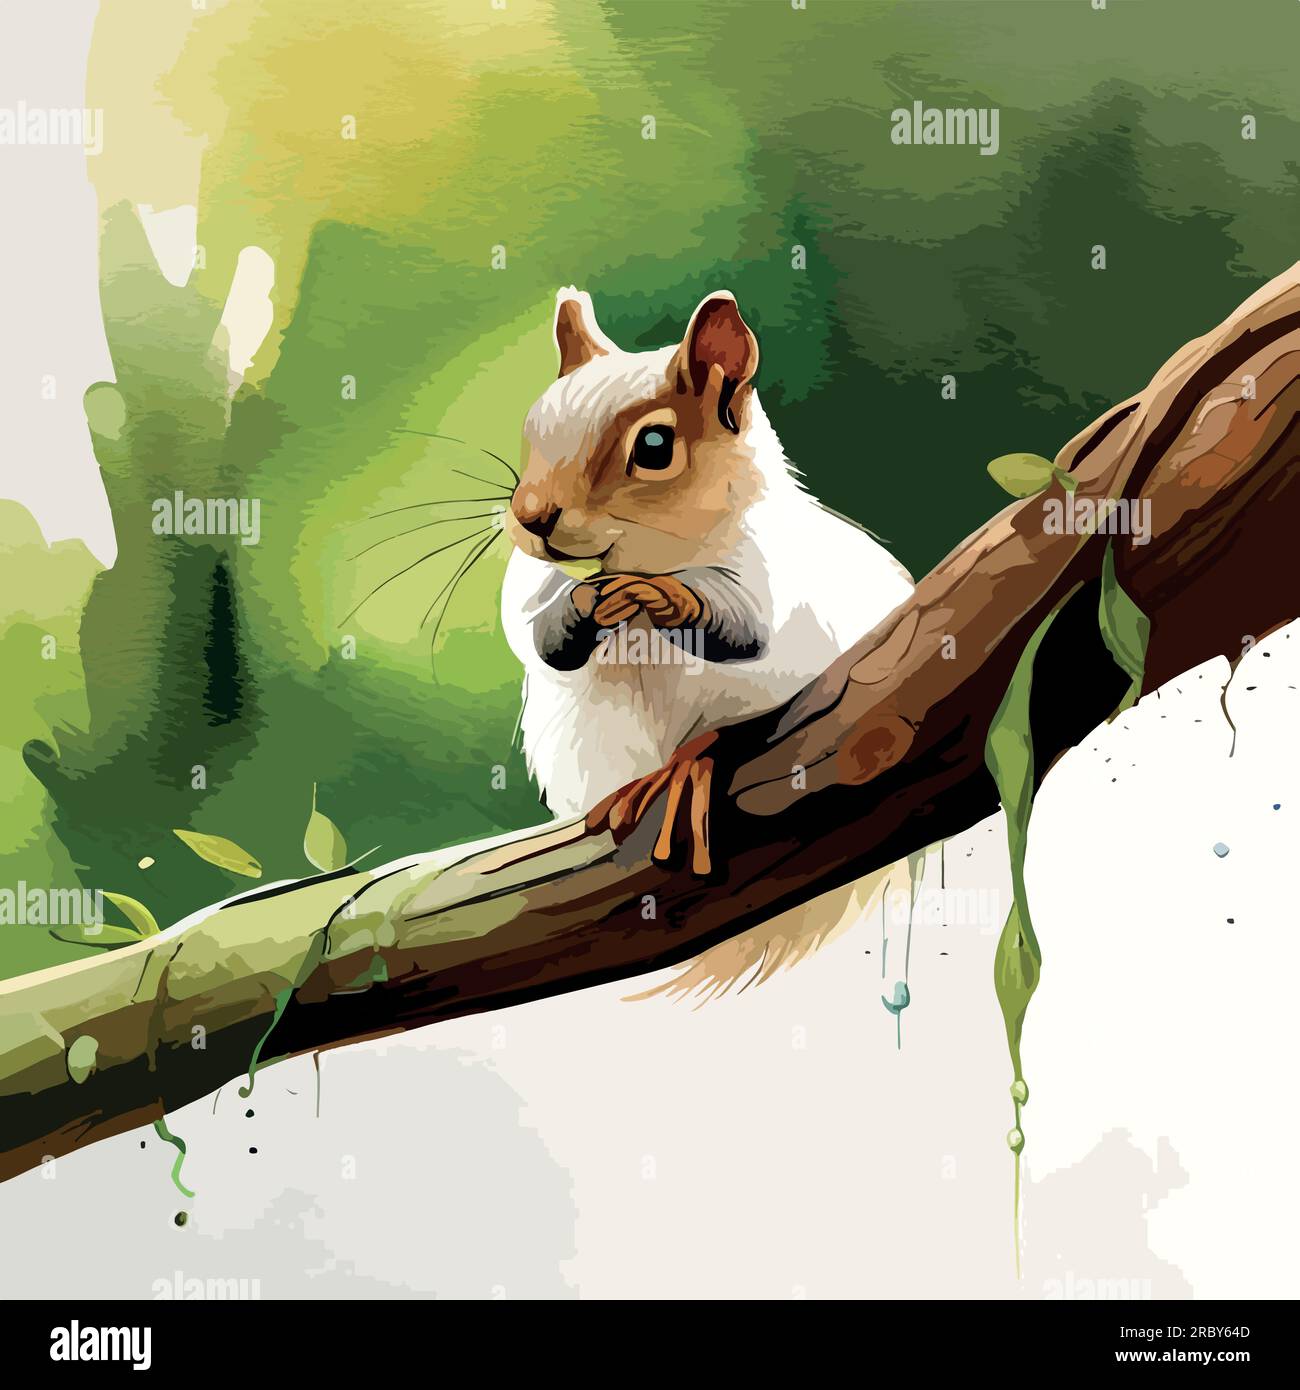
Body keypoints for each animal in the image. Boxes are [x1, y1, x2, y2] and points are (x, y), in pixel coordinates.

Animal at [501, 288, 915, 999]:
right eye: (531, 433)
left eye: (655, 445)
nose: (531, 518)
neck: (651, 554)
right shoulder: (530, 583)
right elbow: (534, 635)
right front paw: (583, 607)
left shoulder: (774, 569)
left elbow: (746, 624)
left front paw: (672, 598)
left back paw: (691, 763)